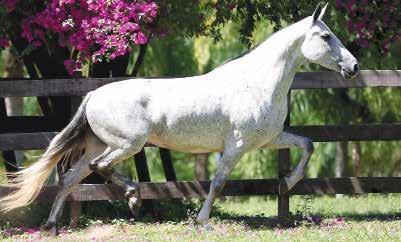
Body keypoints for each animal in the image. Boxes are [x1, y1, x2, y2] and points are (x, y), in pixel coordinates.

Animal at [0, 2, 356, 231]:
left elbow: (307, 144)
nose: (353, 67)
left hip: (98, 145)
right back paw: (132, 198)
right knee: (98, 169)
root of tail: (91, 96)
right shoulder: (237, 145)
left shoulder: (268, 140)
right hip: (126, 145)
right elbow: (218, 181)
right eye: (326, 36)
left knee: (71, 177)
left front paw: (289, 181)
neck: (257, 83)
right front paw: (202, 222)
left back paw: (52, 225)